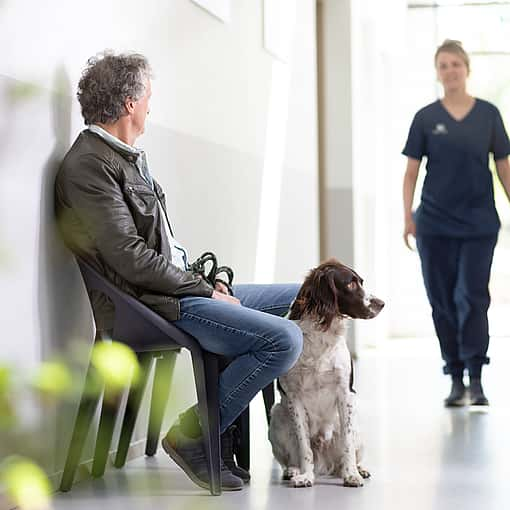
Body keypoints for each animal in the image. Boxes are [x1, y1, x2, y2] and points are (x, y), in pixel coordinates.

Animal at [270, 260, 382, 488]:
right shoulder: (294, 398)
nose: (381, 303)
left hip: (357, 423)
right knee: (291, 458)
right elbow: (304, 445)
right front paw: (306, 476)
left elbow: (347, 443)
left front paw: (351, 475)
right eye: (350, 284)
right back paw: (293, 470)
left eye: (361, 282)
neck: (321, 335)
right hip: (276, 414)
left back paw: (359, 468)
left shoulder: (345, 393)